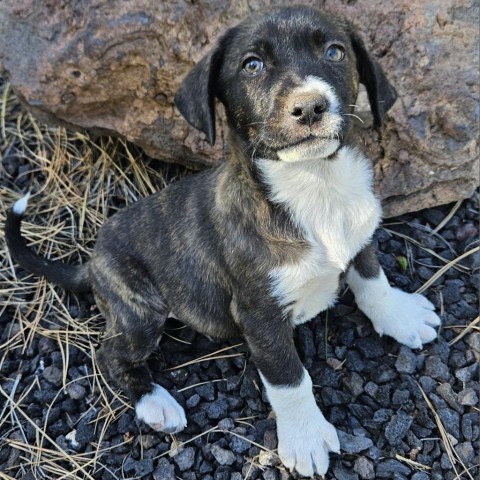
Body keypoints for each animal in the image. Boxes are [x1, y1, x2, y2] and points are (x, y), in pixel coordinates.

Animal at [4, 4, 442, 476]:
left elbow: (373, 278)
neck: (314, 186)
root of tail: (92, 261)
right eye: (252, 65)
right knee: (111, 355)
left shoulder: (358, 239)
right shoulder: (259, 314)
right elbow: (289, 377)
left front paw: (399, 315)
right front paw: (305, 438)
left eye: (334, 52)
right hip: (140, 311)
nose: (309, 107)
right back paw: (156, 403)